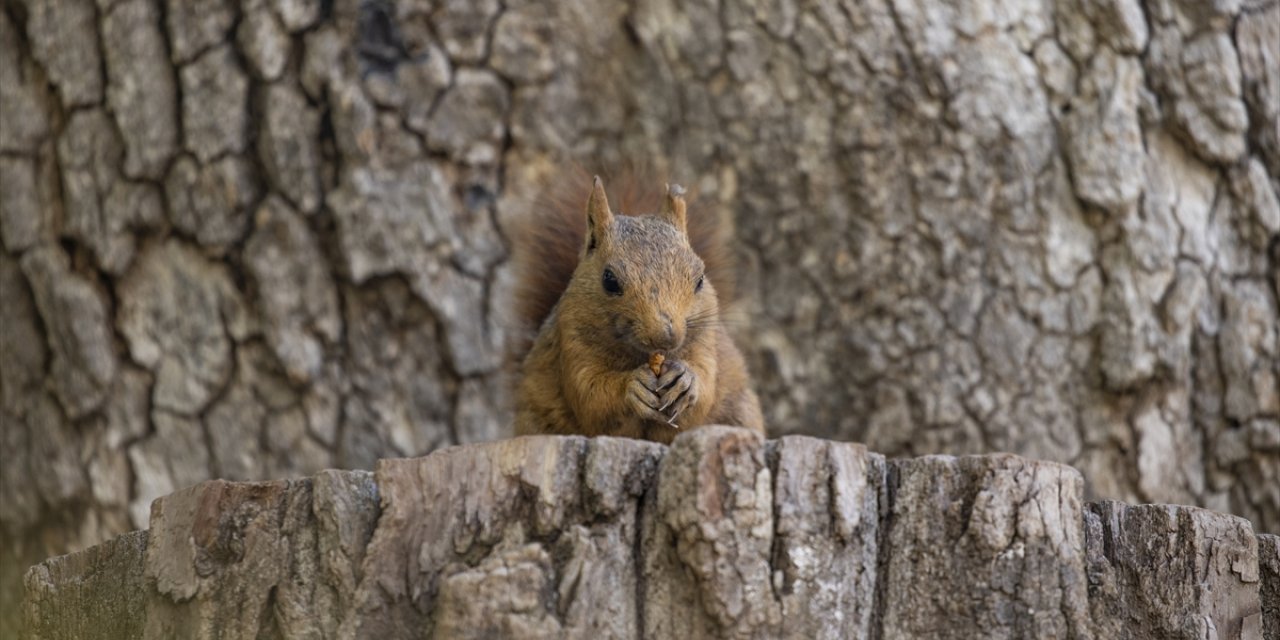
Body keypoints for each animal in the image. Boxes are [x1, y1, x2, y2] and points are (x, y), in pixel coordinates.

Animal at [506, 172, 757, 442]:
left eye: (700, 279)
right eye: (609, 280)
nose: (666, 337)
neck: (641, 355)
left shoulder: (705, 342)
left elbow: (706, 388)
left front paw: (686, 379)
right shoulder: (571, 344)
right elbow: (591, 397)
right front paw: (632, 386)